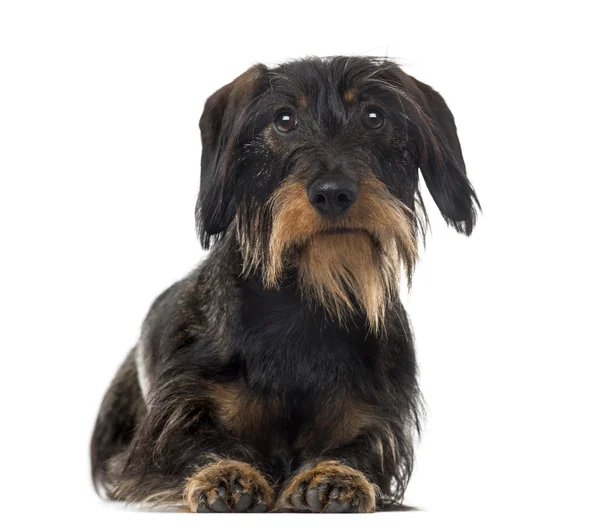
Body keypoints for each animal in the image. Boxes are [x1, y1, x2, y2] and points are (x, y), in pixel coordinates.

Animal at [91, 56, 480, 512]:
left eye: (374, 117)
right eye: (284, 119)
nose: (333, 193)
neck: (305, 303)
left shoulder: (375, 418)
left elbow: (358, 450)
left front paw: (336, 476)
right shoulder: (170, 423)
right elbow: (196, 445)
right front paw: (226, 473)